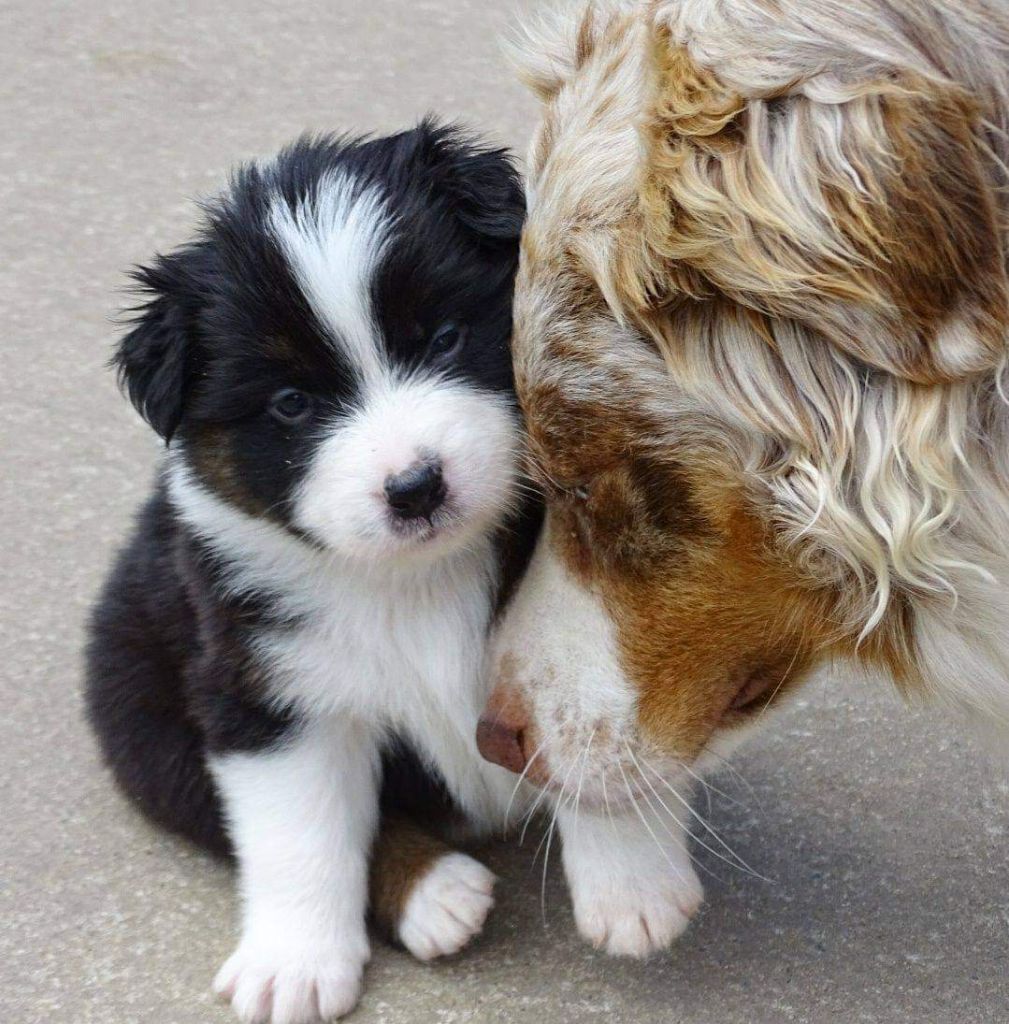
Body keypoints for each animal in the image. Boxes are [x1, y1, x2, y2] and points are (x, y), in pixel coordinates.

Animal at [84, 125, 544, 1024]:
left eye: (443, 338)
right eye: (292, 404)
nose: (416, 488)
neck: (413, 577)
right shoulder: (264, 690)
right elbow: (300, 832)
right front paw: (293, 964)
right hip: (141, 708)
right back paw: (434, 893)